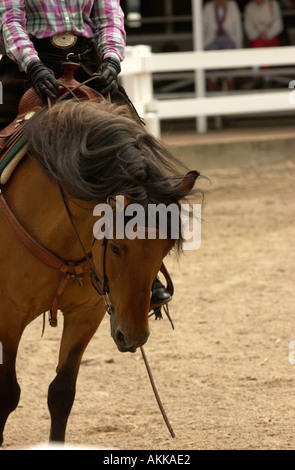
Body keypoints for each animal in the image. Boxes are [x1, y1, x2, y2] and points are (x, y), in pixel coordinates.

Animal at [0, 96, 201, 444]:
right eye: (117, 246)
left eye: (164, 248)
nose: (133, 337)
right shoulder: (9, 319)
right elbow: (7, 394)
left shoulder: (86, 316)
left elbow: (61, 393)